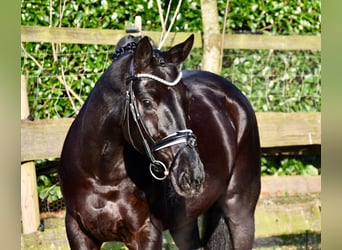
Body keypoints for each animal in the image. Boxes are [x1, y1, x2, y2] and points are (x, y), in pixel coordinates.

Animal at [60, 34, 260, 249]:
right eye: (146, 101)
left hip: (240, 213)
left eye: (186, 100)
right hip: (185, 223)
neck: (102, 177)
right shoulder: (79, 232)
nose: (193, 174)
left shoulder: (146, 233)